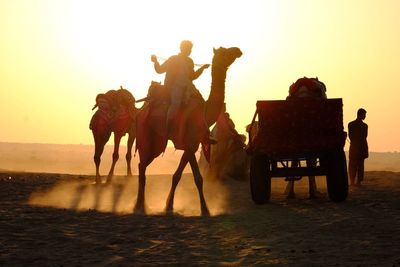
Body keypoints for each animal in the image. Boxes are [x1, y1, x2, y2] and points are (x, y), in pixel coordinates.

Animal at [135, 47, 241, 216]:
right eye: (224, 52)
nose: (238, 50)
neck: (205, 112)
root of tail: (140, 111)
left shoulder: (191, 145)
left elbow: (177, 175)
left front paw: (169, 206)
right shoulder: (190, 144)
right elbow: (198, 178)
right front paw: (205, 209)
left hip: (155, 141)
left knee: (142, 166)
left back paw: (142, 205)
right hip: (146, 136)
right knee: (142, 166)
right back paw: (140, 206)